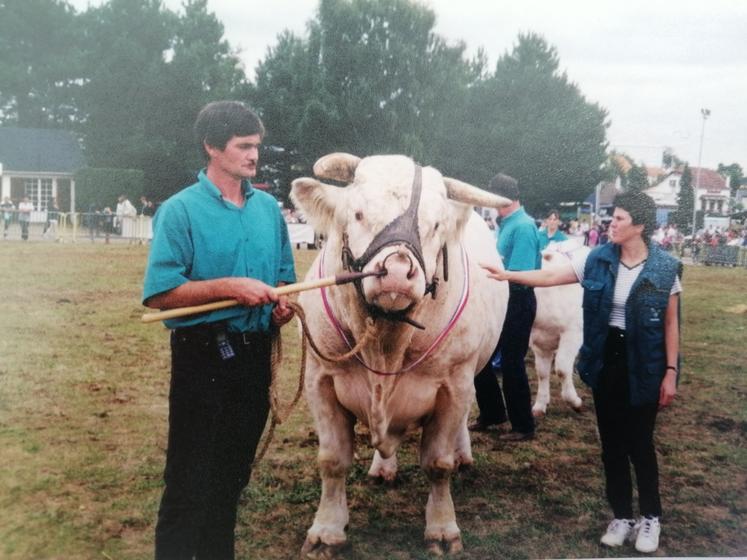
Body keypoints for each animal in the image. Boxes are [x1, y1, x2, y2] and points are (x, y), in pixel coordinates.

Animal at [290, 153, 512, 556]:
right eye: (358, 213)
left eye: (437, 224)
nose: (395, 272)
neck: (385, 344)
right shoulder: (320, 380)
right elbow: (332, 461)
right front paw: (326, 531)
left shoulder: (454, 386)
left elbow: (438, 464)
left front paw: (442, 529)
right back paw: (383, 468)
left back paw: (463, 454)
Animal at [532, 238, 592, 418]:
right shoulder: (539, 340)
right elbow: (542, 372)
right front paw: (540, 405)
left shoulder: (573, 333)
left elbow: (562, 369)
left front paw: (575, 402)